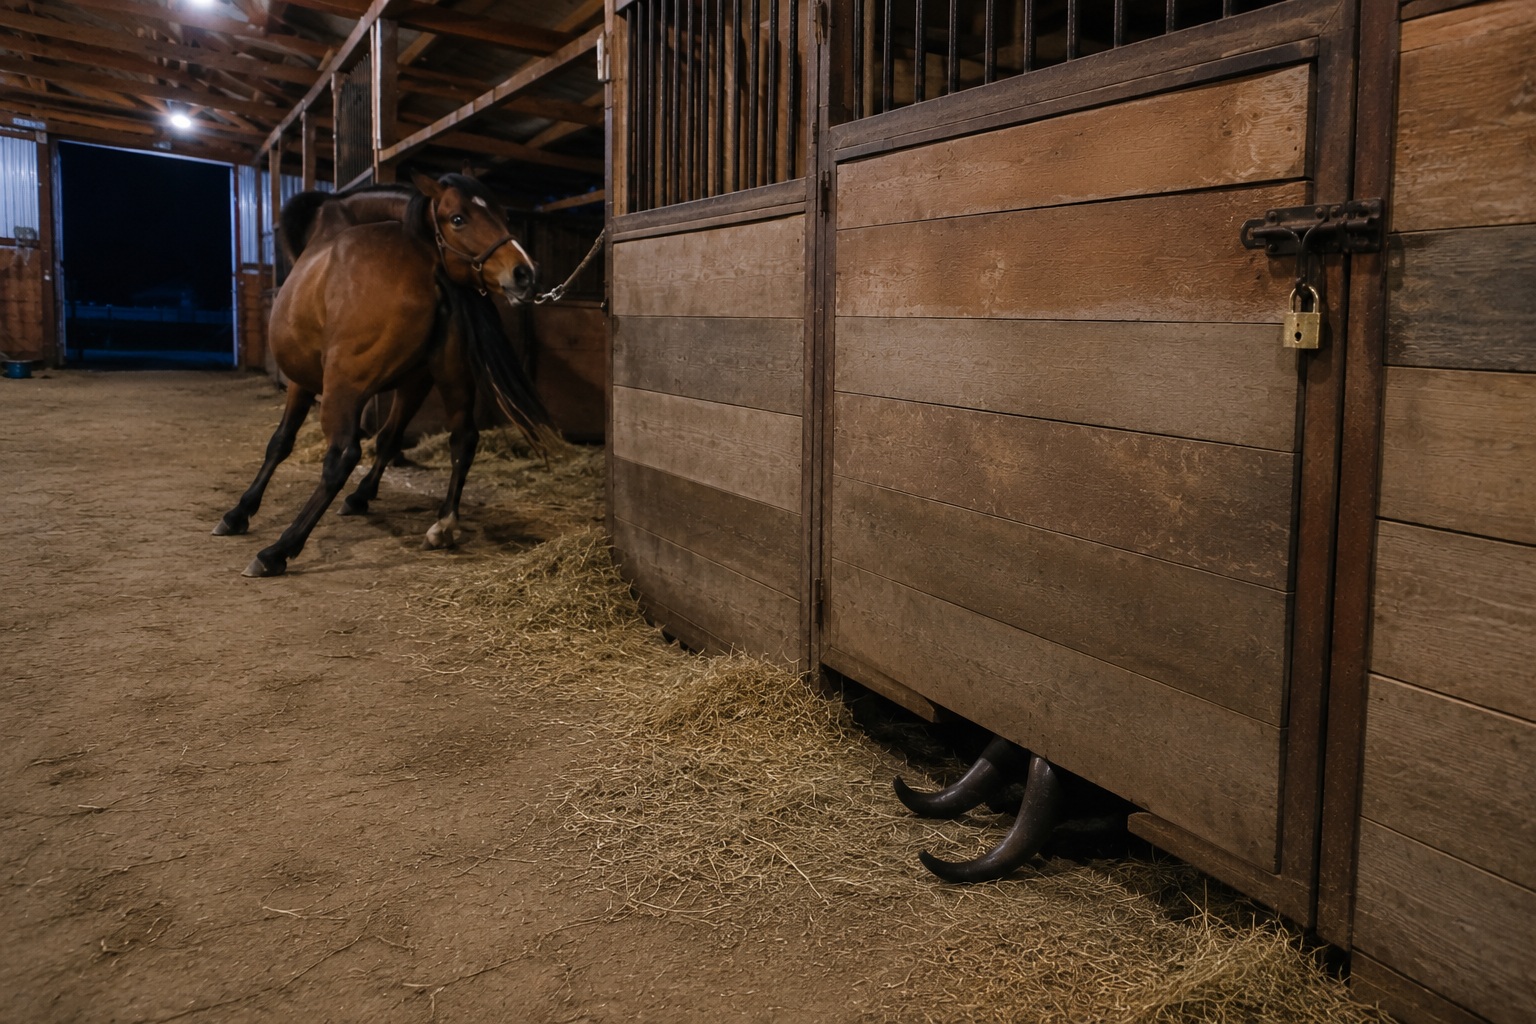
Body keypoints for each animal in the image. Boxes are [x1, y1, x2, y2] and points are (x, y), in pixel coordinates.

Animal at [213, 171, 552, 578]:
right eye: (458, 218)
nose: (525, 272)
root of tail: (433, 272)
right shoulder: (413, 381)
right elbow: (390, 439)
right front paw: (362, 497)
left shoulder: (304, 383)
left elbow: (280, 443)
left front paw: (239, 513)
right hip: (446, 378)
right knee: (463, 438)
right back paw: (443, 524)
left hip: (343, 388)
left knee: (341, 457)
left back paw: (279, 550)